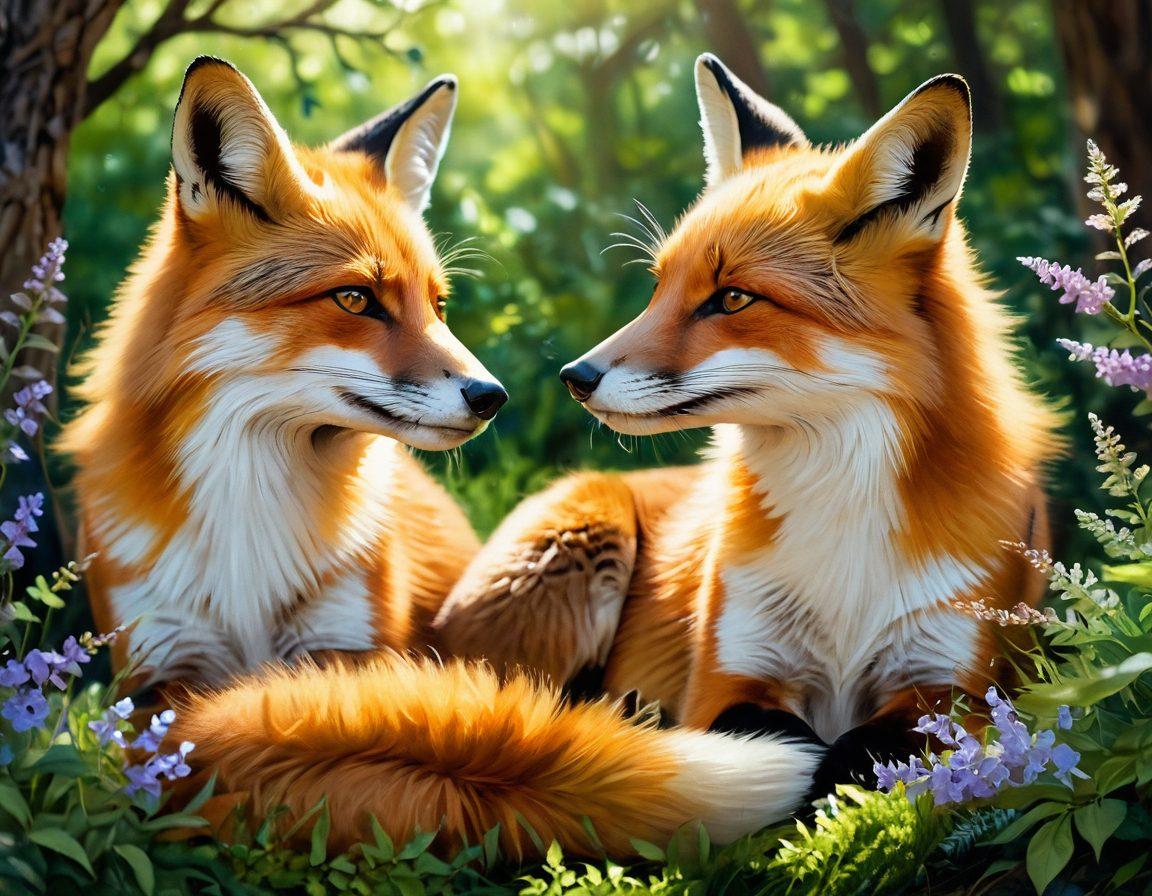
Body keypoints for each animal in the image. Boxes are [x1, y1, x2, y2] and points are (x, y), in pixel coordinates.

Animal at [67, 58, 820, 858]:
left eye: (438, 305)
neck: (251, 527)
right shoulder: (155, 679)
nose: (492, 395)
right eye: (356, 299)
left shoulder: (345, 655)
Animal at [434, 55, 1060, 794]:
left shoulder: (954, 688)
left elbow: (857, 750)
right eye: (660, 287)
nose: (575, 377)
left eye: (731, 298)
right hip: (575, 551)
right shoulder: (727, 675)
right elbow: (790, 744)